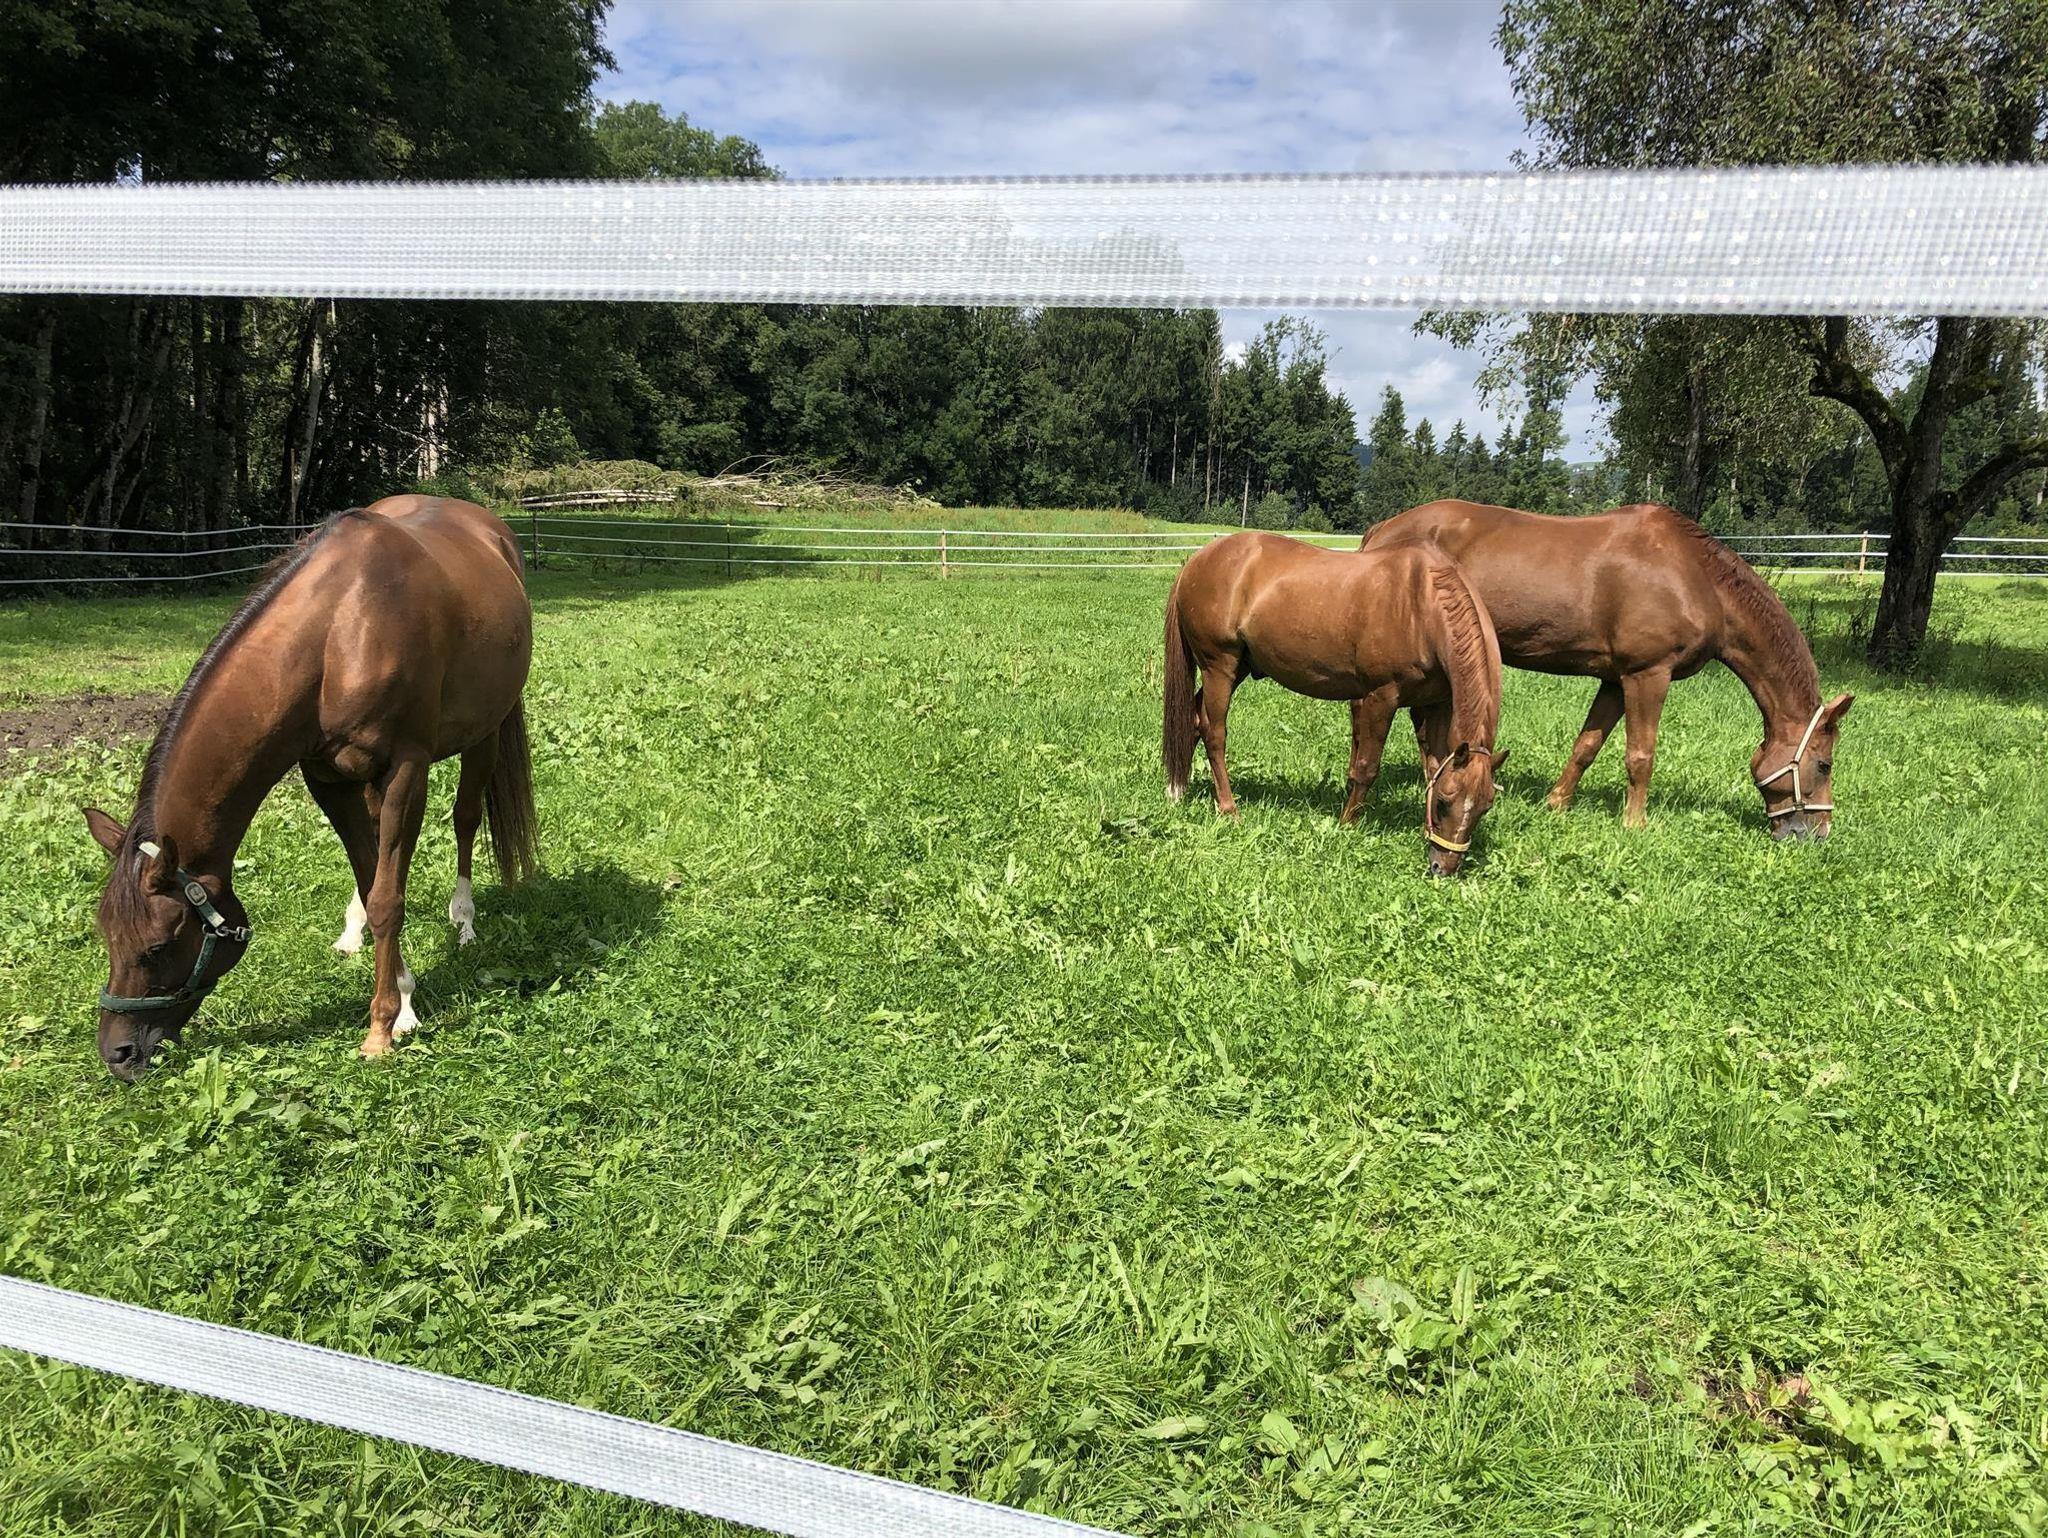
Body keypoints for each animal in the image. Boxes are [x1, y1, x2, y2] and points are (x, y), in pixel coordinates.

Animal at [81, 495, 536, 1080]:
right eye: (107, 937)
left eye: (157, 947)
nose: (117, 1054)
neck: (338, 634)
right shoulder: (326, 778)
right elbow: (373, 879)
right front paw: (404, 1000)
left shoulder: (406, 770)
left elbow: (389, 897)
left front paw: (382, 1028)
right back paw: (354, 931)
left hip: (485, 733)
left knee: (465, 819)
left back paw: (464, 922)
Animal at [1163, 531, 1509, 876]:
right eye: (1445, 803)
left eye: (1485, 807)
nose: (1443, 867)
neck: (1422, 605)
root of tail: (1195, 561)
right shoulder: (1380, 698)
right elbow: (1367, 767)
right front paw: (1348, 823)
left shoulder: (1434, 705)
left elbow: (1433, 768)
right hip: (1219, 666)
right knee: (1214, 733)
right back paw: (1228, 808)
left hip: (1238, 668)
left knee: (1193, 720)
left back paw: (1178, 789)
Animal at [1358, 500, 1852, 838]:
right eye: (1824, 764)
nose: (1818, 834)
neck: (1696, 577)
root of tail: (1382, 529)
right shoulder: (1648, 674)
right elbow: (1640, 755)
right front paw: (1635, 824)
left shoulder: (1614, 681)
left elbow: (1587, 746)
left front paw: (1556, 804)